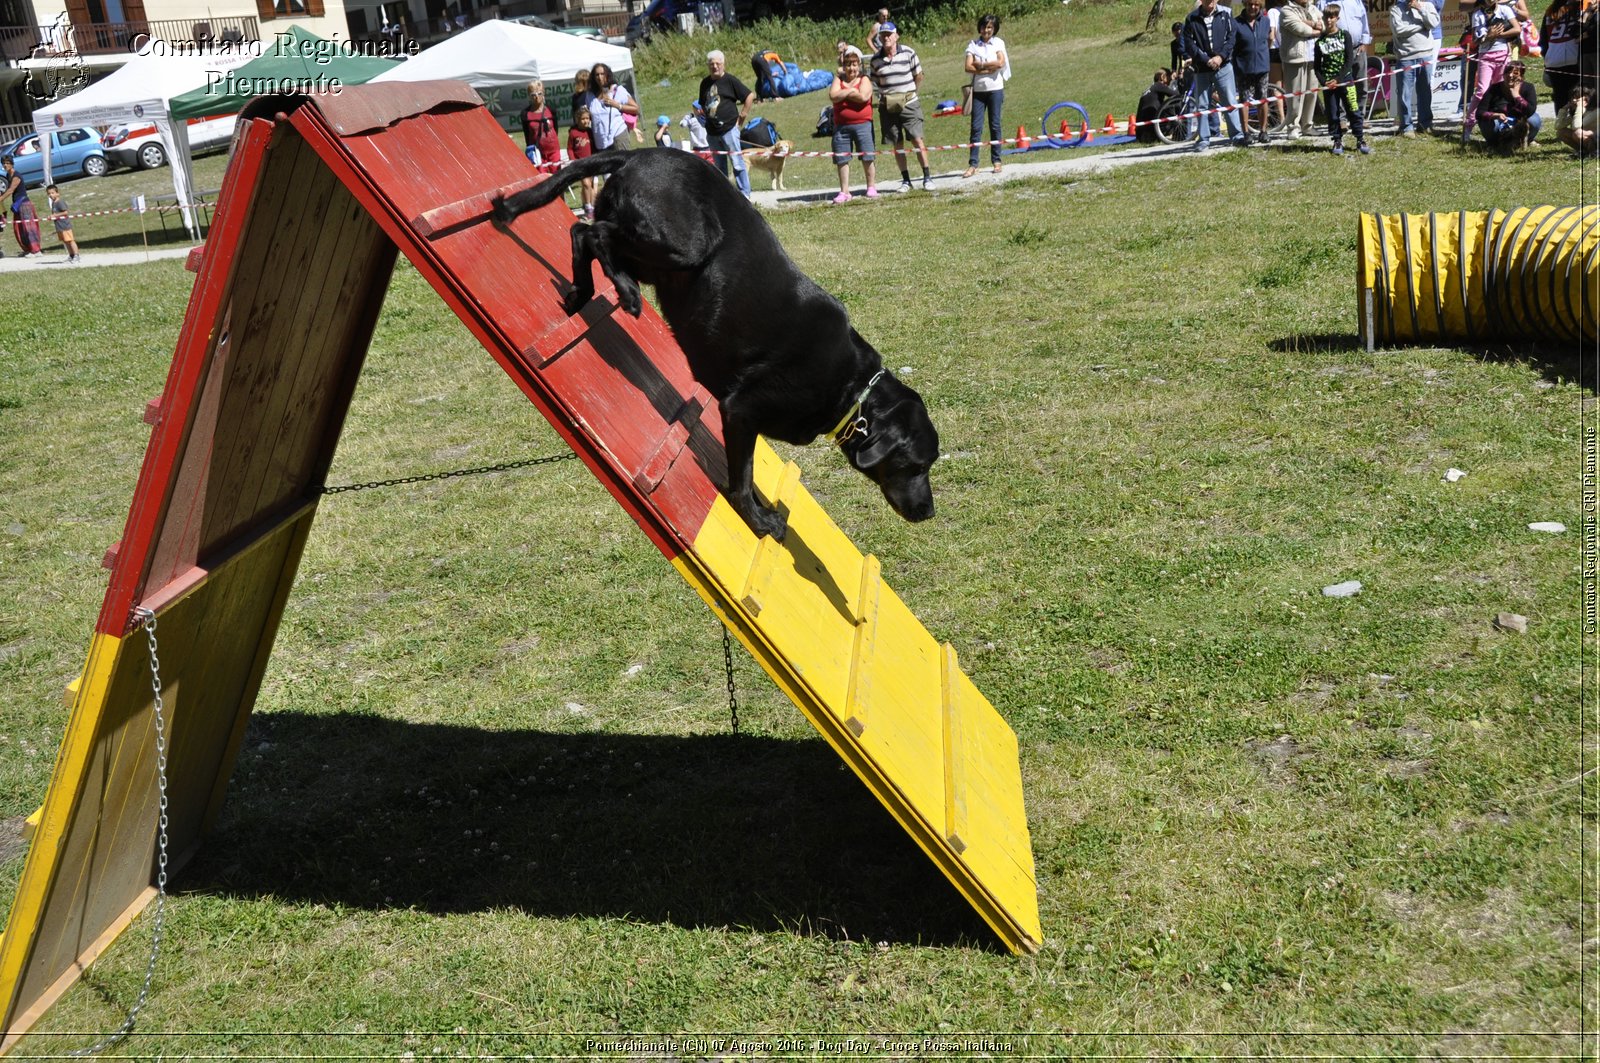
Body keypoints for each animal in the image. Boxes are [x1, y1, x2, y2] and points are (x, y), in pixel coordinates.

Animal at [486, 149, 934, 544]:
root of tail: (637, 153)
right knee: (594, 233)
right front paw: (760, 522)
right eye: (916, 464)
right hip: (686, 245)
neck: (852, 388)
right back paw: (625, 293)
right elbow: (743, 478)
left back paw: (581, 293)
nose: (929, 513)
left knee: (583, 233)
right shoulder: (740, 411)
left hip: (662, 261)